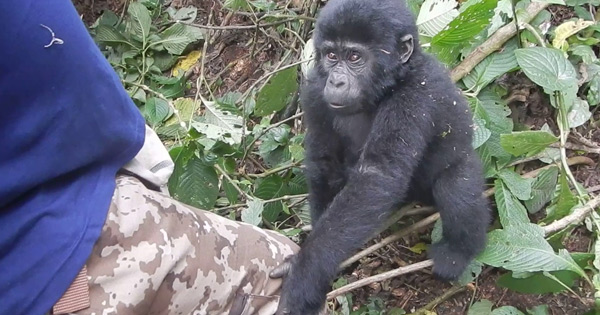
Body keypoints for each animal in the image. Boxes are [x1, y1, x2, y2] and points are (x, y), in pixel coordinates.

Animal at [270, 0, 490, 314]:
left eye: (354, 56)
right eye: (331, 55)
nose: (336, 81)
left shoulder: (414, 95)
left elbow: (377, 176)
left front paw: (306, 272)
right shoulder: (313, 89)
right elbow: (325, 163)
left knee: (456, 187)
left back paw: (458, 252)